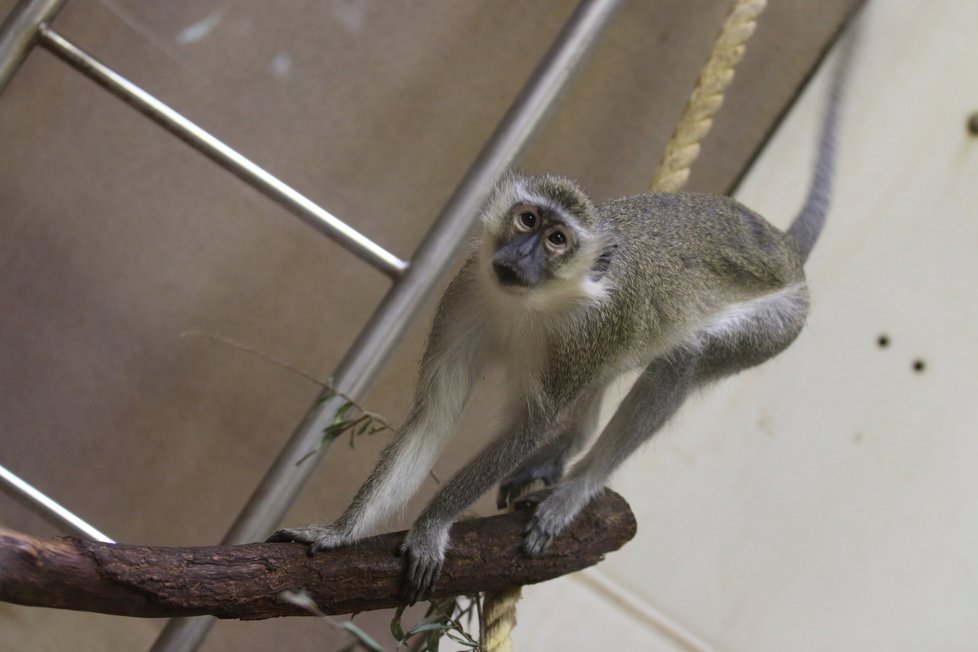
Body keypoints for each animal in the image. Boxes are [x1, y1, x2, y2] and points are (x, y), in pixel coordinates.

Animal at [270, 38, 852, 604]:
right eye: (527, 219)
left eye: (556, 240)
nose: (521, 255)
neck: (532, 304)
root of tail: (784, 250)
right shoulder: (465, 293)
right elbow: (437, 412)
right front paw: (340, 533)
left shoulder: (587, 332)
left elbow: (530, 423)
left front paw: (432, 526)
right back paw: (572, 445)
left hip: (777, 323)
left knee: (683, 362)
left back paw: (578, 486)